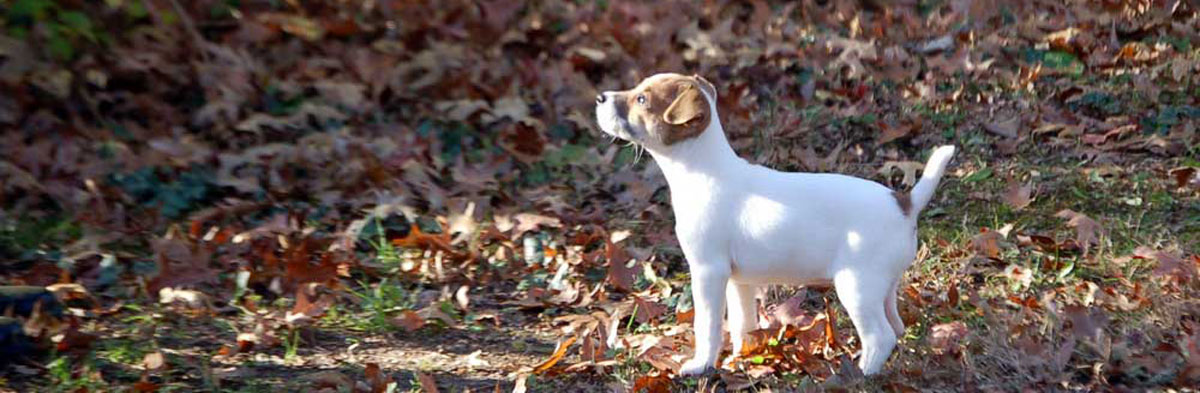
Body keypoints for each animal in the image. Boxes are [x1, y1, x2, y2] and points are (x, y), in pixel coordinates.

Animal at [592, 72, 955, 376]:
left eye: (642, 99)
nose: (599, 97)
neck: (703, 169)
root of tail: (905, 203)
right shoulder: (737, 281)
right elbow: (742, 323)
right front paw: (741, 357)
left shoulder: (708, 272)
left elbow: (707, 326)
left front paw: (701, 365)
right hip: (883, 285)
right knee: (896, 326)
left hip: (856, 287)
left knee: (880, 336)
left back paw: (860, 374)